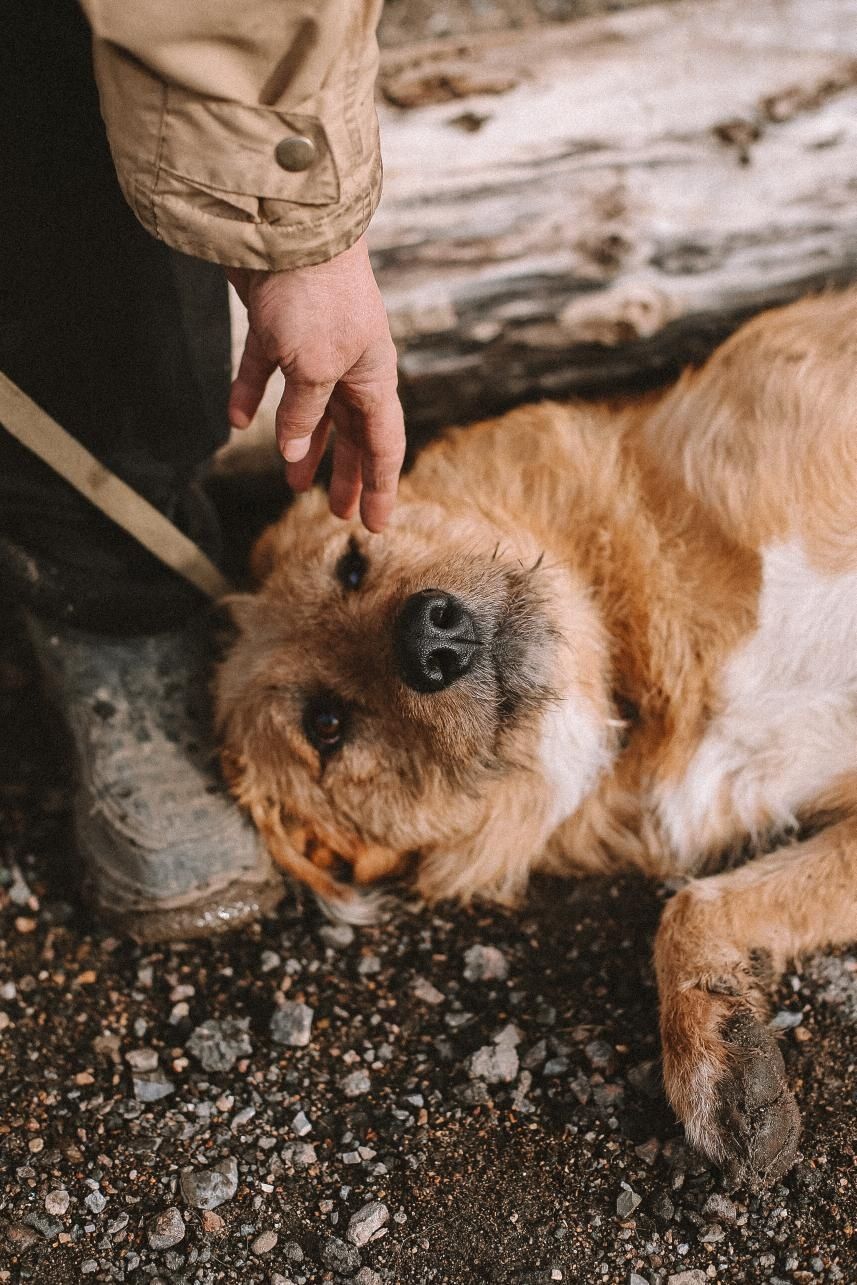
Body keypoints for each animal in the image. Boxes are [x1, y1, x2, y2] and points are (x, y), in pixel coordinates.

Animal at [215, 289, 857, 1182]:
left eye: (350, 565)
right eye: (326, 725)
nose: (432, 637)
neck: (633, 668)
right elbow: (692, 907)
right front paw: (720, 1062)